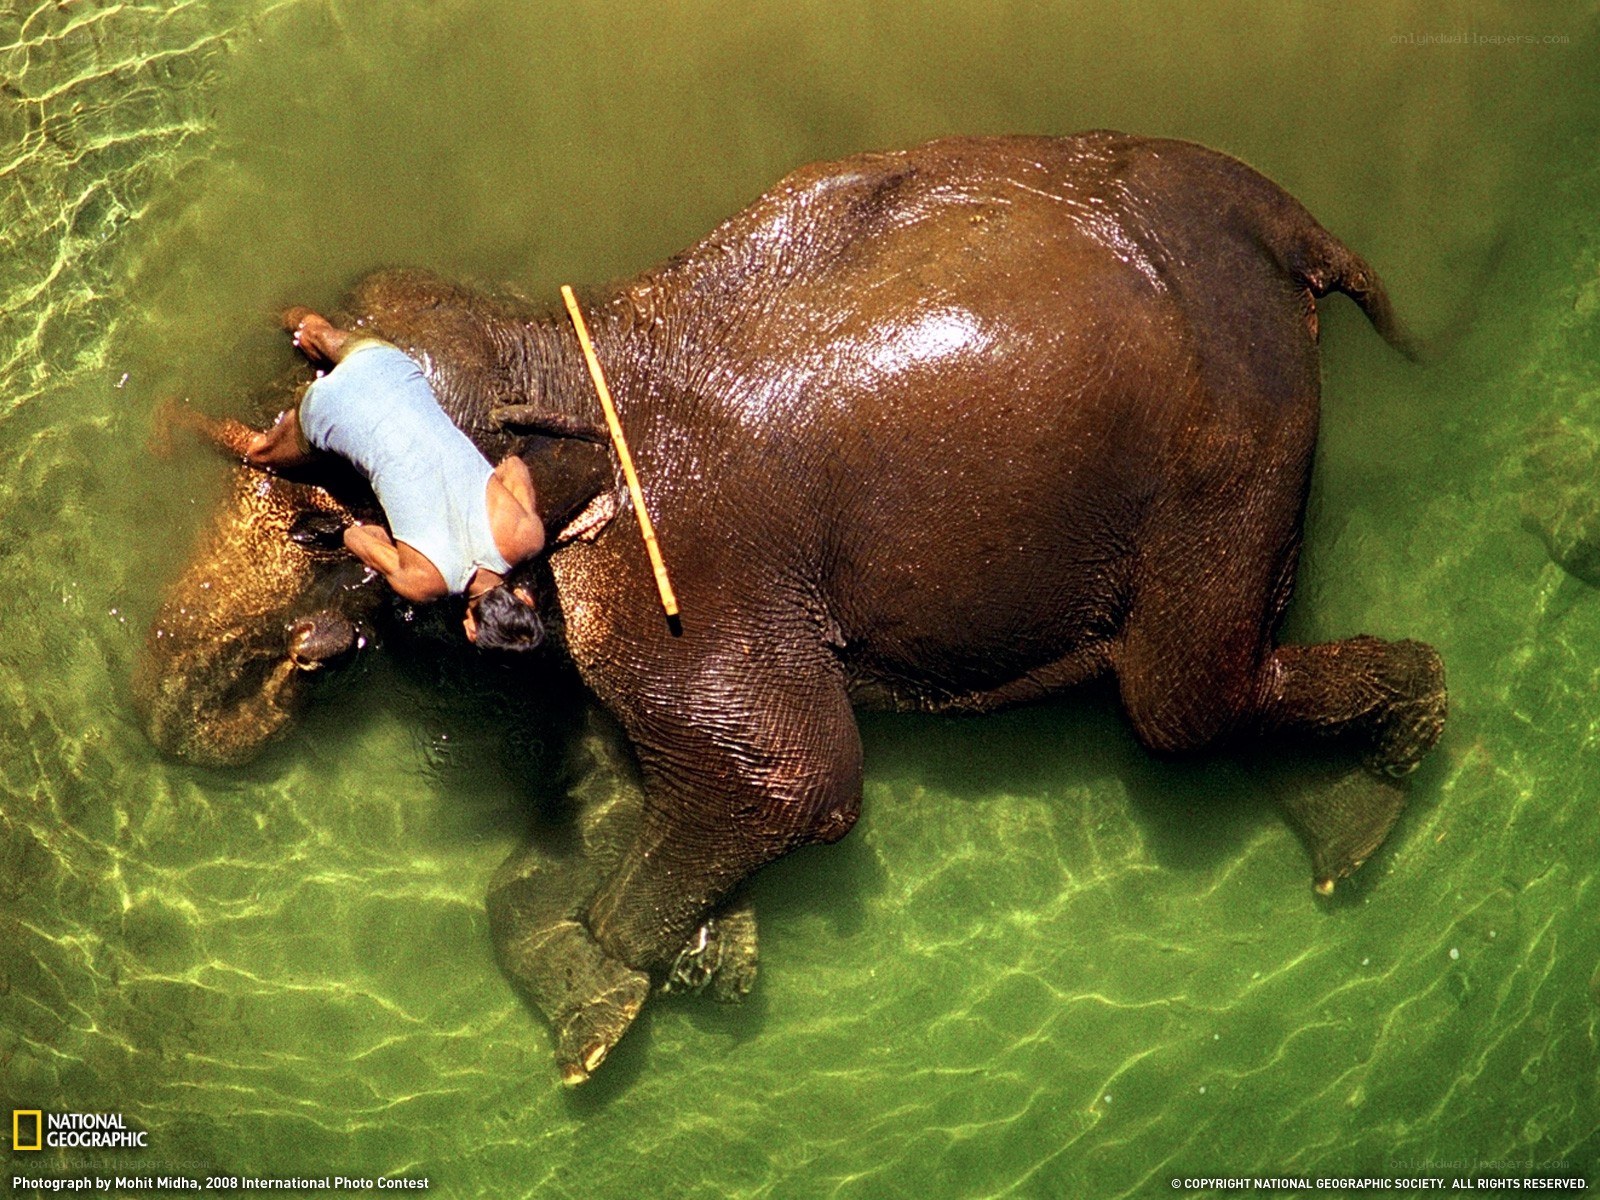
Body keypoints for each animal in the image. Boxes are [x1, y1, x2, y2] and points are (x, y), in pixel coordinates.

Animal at [137, 132, 1447, 1083]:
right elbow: (618, 779)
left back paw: (1405, 738)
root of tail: (1279, 222)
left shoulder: (676, 559)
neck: (564, 342)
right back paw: (1353, 835)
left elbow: (789, 779)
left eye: (325, 519)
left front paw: (644, 970)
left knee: (1178, 704)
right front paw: (678, 976)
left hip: (1231, 435)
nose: (284, 660)